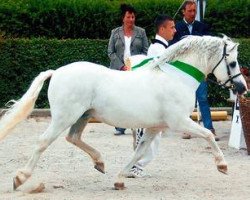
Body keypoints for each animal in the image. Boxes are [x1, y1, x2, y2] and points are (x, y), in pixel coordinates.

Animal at [0, 35, 246, 191]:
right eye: (233, 63)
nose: (242, 88)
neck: (176, 78)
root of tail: (57, 72)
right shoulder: (179, 122)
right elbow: (208, 134)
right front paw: (222, 166)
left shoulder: (154, 127)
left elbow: (138, 152)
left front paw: (119, 180)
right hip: (64, 117)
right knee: (43, 141)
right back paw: (20, 178)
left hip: (82, 116)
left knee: (73, 138)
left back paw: (100, 162)